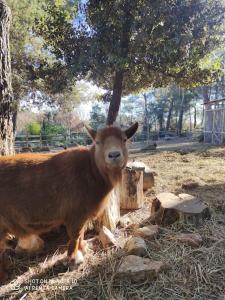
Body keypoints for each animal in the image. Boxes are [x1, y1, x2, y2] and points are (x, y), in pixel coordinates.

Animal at [0, 122, 137, 282]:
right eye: (98, 142)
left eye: (124, 139)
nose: (114, 155)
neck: (91, 170)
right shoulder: (74, 214)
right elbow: (75, 235)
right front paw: (73, 259)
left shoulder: (82, 215)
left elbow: (81, 233)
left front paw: (83, 248)